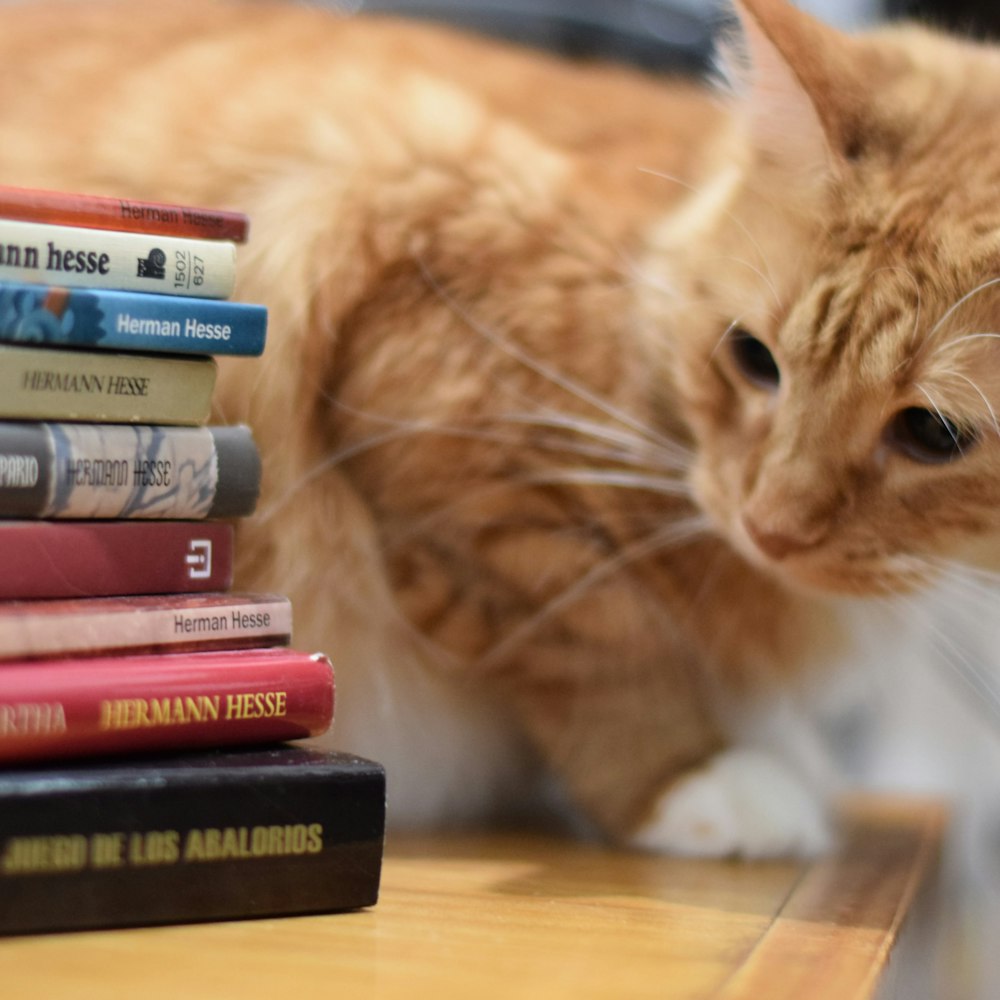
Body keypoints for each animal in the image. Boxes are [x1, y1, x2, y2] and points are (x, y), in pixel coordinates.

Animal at [1, 0, 1000, 876]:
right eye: (754, 359)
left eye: (933, 433)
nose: (768, 528)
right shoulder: (437, 406)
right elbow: (603, 645)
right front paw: (690, 779)